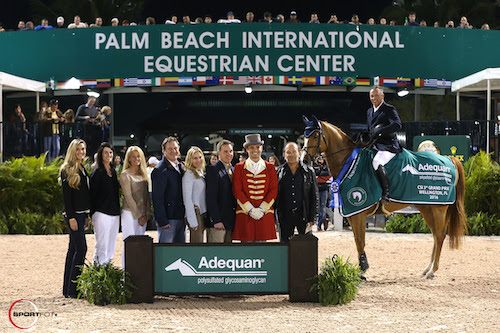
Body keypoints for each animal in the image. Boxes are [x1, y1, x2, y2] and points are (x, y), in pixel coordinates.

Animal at [300, 116, 468, 278]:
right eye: (304, 135)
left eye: (315, 135)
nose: (304, 160)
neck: (349, 161)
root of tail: (449, 159)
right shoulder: (353, 213)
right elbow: (357, 240)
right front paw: (362, 268)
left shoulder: (358, 211)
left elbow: (360, 240)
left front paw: (362, 270)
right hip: (427, 208)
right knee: (435, 235)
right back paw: (427, 269)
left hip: (438, 208)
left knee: (439, 235)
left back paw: (433, 271)